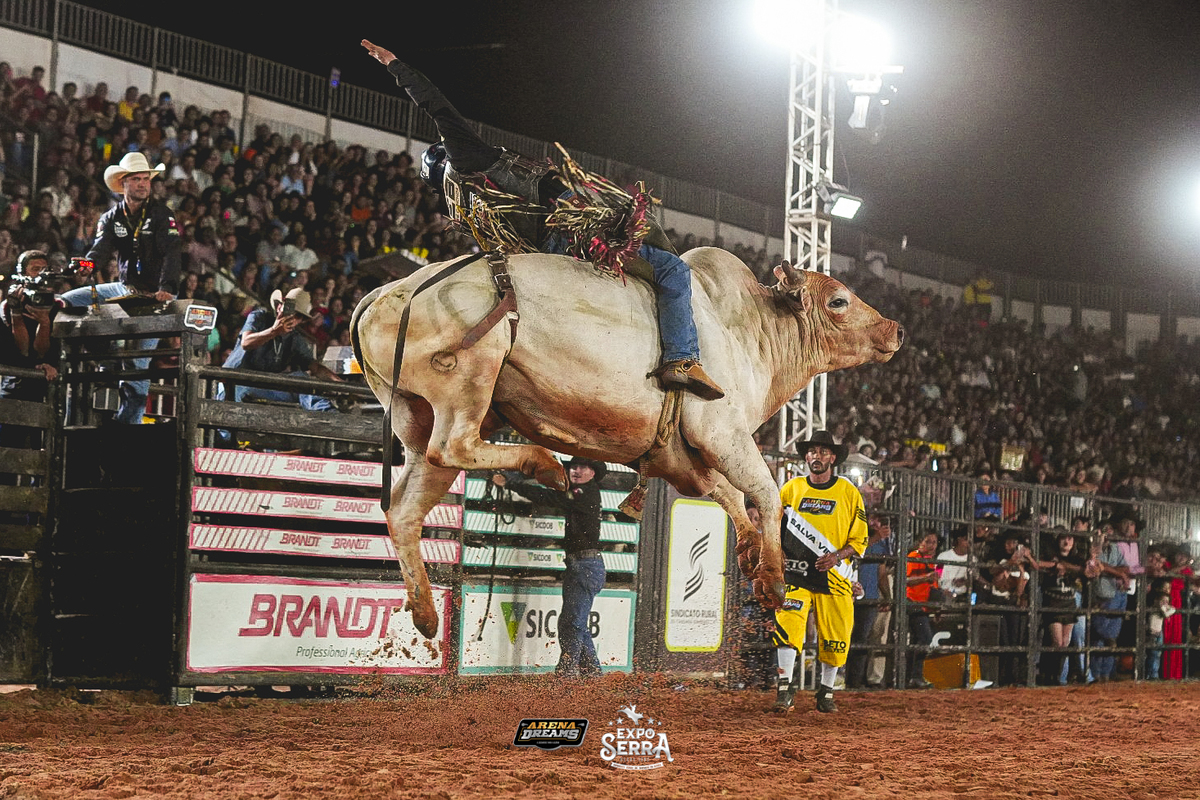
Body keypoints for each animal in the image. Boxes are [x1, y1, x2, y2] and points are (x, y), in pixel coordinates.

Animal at [351, 247, 902, 638]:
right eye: (838, 301)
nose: (895, 328)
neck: (749, 329)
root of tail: (385, 294)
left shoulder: (684, 455)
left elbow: (724, 491)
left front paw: (747, 547)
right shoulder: (722, 432)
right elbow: (764, 491)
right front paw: (770, 581)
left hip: (415, 416)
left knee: (405, 506)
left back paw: (424, 613)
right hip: (470, 377)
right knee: (454, 445)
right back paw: (545, 464)